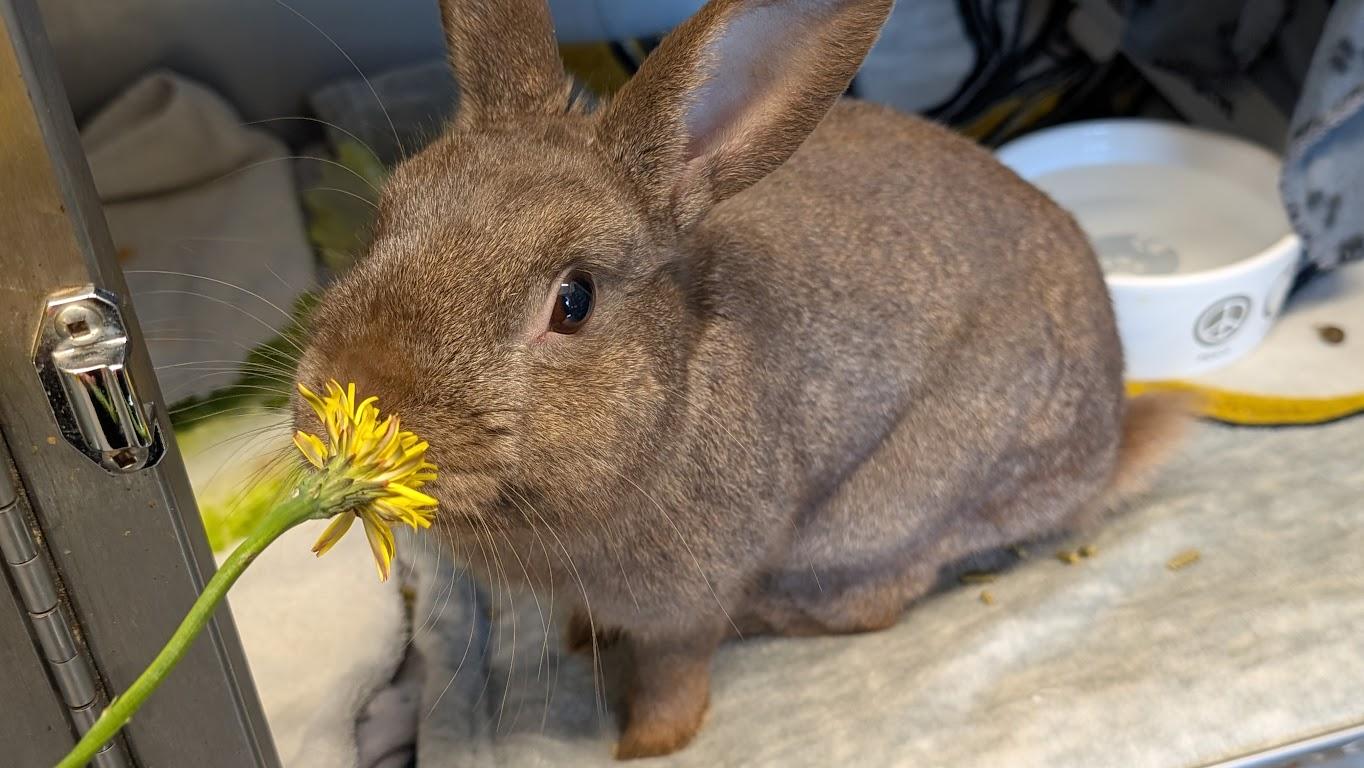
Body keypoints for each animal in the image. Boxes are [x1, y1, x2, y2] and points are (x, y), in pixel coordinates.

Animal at [293, 0, 1190, 758]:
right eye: (387, 217)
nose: (353, 400)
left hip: (885, 519)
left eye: (573, 301)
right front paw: (584, 637)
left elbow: (674, 672)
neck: (676, 389)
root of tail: (1106, 448)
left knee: (871, 605)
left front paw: (647, 746)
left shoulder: (687, 601)